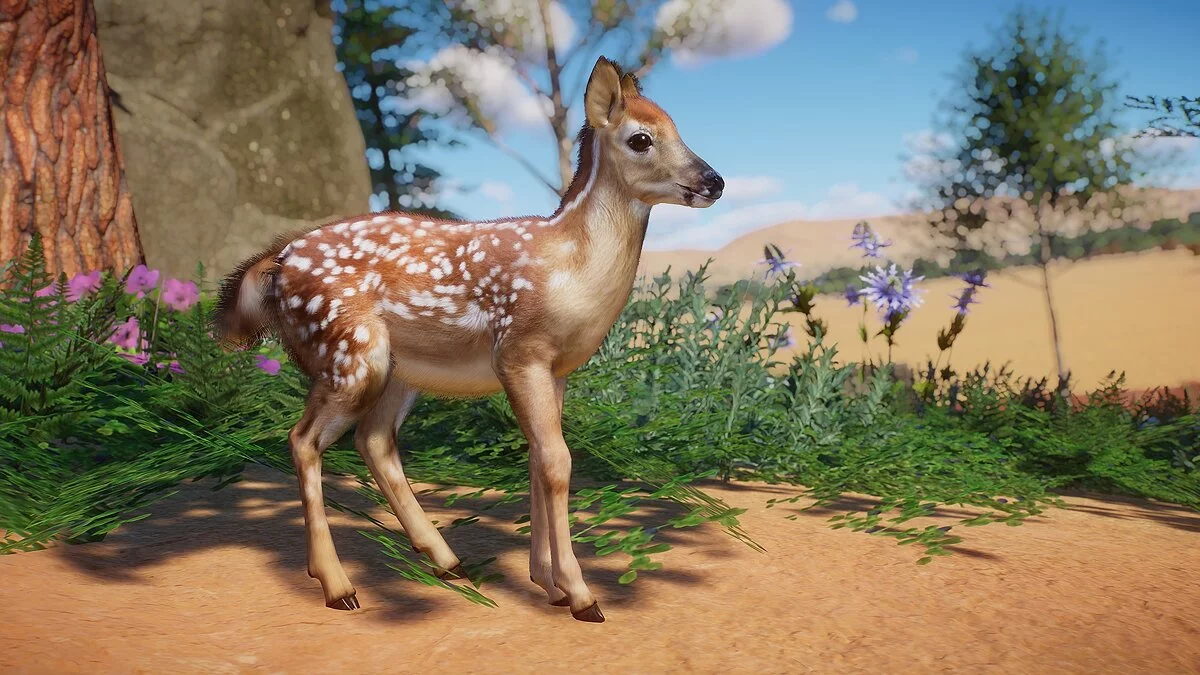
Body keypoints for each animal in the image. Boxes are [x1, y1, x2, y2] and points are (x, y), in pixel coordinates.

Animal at [213, 56, 723, 623]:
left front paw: (547, 584)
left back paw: (445, 561)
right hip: (348, 353)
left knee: (374, 440)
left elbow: (537, 458)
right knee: (304, 439)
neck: (570, 265)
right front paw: (581, 595)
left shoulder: (556, 371)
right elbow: (557, 462)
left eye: (678, 128)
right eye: (641, 139)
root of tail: (277, 262)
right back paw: (338, 585)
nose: (715, 181)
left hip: (397, 370)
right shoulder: (520, 352)